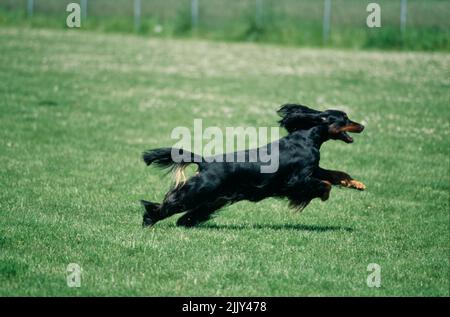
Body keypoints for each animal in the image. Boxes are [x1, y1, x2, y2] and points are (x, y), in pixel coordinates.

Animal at [141, 104, 366, 227]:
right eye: (345, 118)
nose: (362, 125)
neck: (306, 138)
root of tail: (205, 162)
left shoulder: (314, 169)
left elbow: (336, 174)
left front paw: (357, 184)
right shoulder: (297, 179)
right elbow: (324, 183)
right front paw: (324, 194)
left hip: (216, 198)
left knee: (189, 213)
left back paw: (184, 223)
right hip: (200, 190)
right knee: (170, 202)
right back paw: (149, 220)